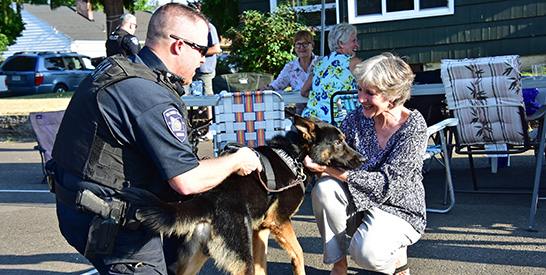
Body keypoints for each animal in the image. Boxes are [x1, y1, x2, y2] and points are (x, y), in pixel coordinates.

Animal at [121, 115, 364, 274]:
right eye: (338, 142)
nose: (363, 159)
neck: (294, 157)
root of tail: (206, 199)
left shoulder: (261, 231)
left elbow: (262, 266)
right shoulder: (279, 221)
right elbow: (299, 254)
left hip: (195, 259)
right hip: (238, 256)